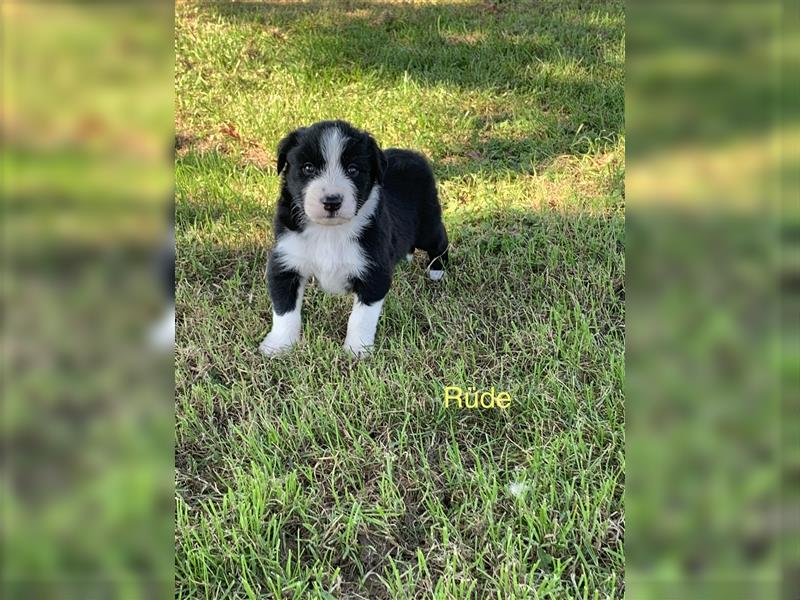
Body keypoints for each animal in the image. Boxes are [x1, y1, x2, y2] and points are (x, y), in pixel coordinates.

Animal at [262, 119, 450, 358]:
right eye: (308, 168)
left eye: (353, 170)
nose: (332, 201)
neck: (329, 231)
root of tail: (412, 154)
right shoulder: (286, 261)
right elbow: (284, 310)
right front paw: (279, 345)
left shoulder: (374, 271)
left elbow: (361, 318)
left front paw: (357, 349)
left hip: (427, 225)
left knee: (440, 238)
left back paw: (437, 270)